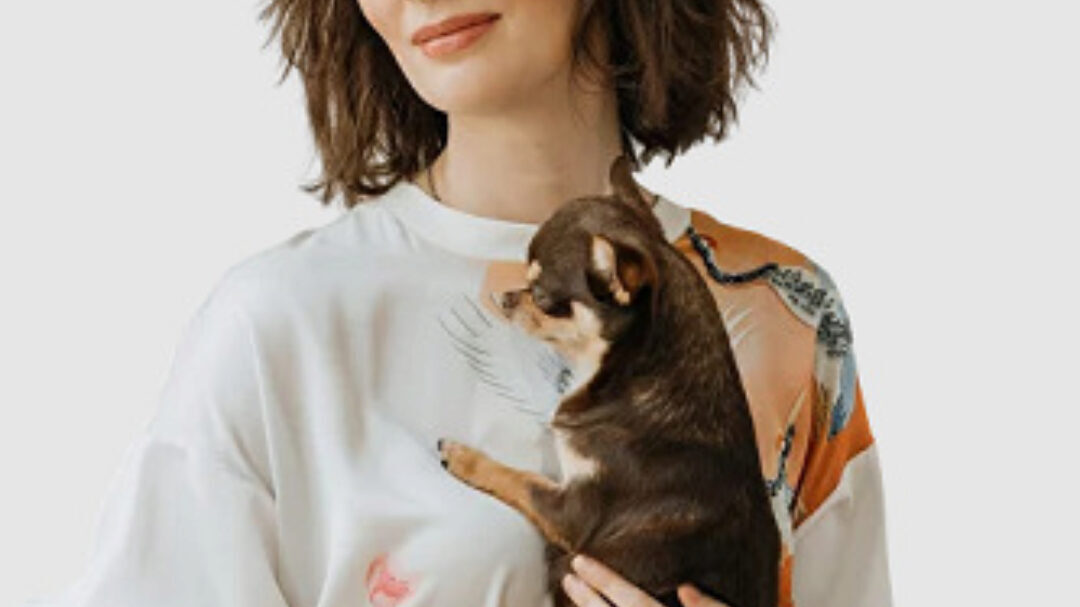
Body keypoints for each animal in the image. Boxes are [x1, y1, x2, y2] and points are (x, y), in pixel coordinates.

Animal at [437, 155, 779, 607]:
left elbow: (519, 478)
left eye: (542, 296)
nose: (507, 298)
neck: (629, 374)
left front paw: (462, 456)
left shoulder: (570, 511)